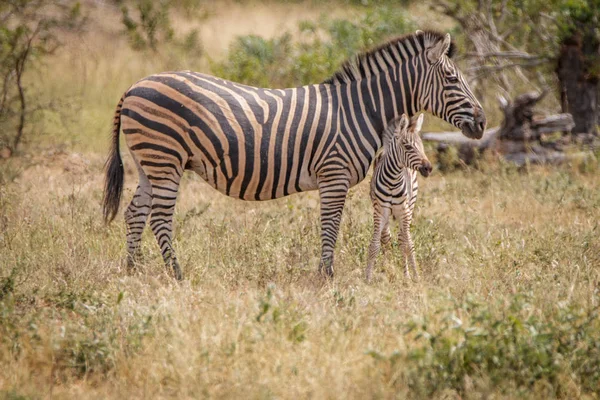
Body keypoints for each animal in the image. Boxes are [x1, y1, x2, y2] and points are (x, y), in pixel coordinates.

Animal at [366, 112, 432, 282]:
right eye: (408, 146)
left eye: (422, 146)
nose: (429, 168)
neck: (392, 180)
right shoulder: (379, 211)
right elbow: (375, 244)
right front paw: (368, 276)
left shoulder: (404, 211)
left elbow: (408, 244)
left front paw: (413, 276)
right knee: (386, 238)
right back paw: (387, 266)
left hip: (410, 207)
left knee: (403, 238)